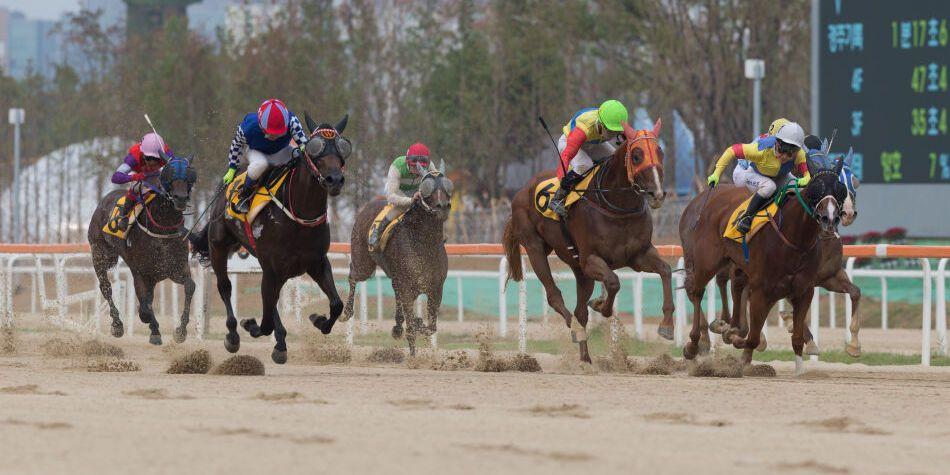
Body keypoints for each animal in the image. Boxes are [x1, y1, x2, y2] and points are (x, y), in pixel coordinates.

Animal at [88, 154, 198, 344]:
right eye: (169, 175)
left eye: (189, 175)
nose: (181, 198)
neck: (162, 229)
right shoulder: (140, 271)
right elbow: (145, 307)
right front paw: (152, 327)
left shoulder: (175, 269)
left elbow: (190, 286)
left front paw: (181, 331)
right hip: (101, 253)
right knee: (106, 287)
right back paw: (117, 324)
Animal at [344, 169, 456, 356]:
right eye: (428, 189)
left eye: (447, 187)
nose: (443, 206)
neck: (424, 243)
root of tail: (368, 205)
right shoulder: (407, 288)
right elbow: (412, 328)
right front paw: (413, 355)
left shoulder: (435, 288)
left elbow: (431, 327)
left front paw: (416, 323)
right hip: (364, 264)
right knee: (353, 274)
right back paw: (346, 311)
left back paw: (397, 327)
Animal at [506, 120, 676, 364]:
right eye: (636, 155)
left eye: (660, 152)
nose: (657, 194)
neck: (617, 205)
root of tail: (522, 190)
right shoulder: (591, 260)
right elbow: (613, 282)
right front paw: (600, 304)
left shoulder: (639, 255)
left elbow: (666, 270)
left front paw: (667, 326)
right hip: (535, 247)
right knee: (555, 297)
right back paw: (576, 331)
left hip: (579, 268)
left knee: (580, 311)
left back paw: (586, 358)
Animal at [680, 158, 852, 374]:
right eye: (815, 189)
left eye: (840, 189)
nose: (830, 218)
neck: (795, 239)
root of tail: (702, 198)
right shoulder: (762, 290)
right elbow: (752, 338)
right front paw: (734, 338)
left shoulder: (804, 290)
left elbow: (796, 338)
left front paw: (800, 369)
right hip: (706, 261)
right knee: (696, 291)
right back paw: (694, 344)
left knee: (732, 285)